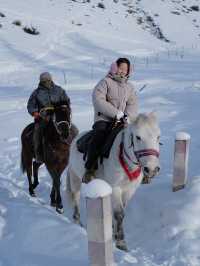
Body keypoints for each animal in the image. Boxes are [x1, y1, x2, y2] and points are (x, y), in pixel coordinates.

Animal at [66, 112, 160, 251]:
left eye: (158, 137)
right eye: (138, 137)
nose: (152, 169)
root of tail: (76, 139)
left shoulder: (129, 190)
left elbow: (120, 211)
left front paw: (114, 234)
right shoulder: (115, 188)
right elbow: (119, 213)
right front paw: (121, 243)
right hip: (75, 177)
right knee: (75, 198)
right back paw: (78, 222)